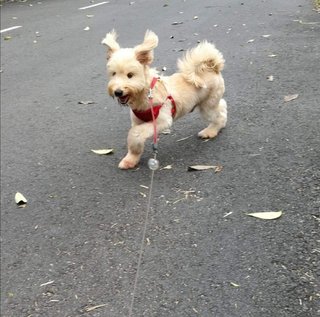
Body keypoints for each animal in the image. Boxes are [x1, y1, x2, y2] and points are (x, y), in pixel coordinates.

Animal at [101, 29, 226, 168]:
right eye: (113, 74)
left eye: (130, 75)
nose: (118, 92)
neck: (145, 94)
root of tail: (212, 67)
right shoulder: (137, 121)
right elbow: (134, 138)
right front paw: (131, 159)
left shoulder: (162, 121)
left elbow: (135, 133)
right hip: (209, 102)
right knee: (222, 106)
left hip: (207, 105)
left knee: (219, 116)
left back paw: (210, 131)